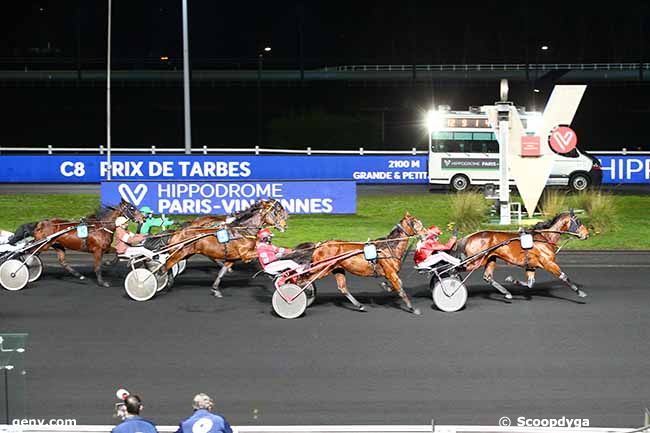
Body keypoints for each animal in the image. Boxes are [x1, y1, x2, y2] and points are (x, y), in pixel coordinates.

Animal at [11, 199, 144, 286]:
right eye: (132, 208)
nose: (143, 217)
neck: (101, 227)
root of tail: (40, 223)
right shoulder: (97, 250)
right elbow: (97, 267)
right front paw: (102, 282)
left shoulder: (105, 248)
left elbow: (116, 253)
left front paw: (108, 263)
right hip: (43, 245)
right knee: (27, 252)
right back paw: (18, 267)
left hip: (57, 245)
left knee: (62, 261)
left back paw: (79, 275)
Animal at [148, 197, 290, 296]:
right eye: (276, 212)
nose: (285, 225)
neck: (243, 231)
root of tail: (176, 232)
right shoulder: (245, 254)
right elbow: (262, 255)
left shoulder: (232, 258)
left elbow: (222, 272)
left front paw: (215, 289)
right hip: (179, 253)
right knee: (164, 268)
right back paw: (154, 284)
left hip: (185, 254)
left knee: (168, 266)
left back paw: (169, 283)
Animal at [456, 210, 588, 298]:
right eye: (578, 221)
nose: (586, 234)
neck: (544, 237)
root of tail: (469, 237)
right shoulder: (549, 263)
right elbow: (564, 276)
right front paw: (580, 292)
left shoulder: (531, 266)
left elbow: (530, 283)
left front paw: (512, 280)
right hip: (475, 261)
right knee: (456, 269)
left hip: (490, 258)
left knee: (487, 277)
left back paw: (507, 293)